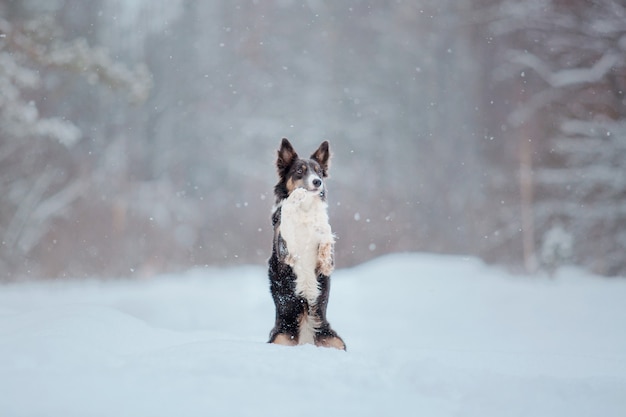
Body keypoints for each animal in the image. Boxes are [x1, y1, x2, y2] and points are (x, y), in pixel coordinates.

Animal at [266, 138, 344, 350]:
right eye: (299, 171)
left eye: (318, 172)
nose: (318, 182)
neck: (305, 210)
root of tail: (306, 342)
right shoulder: (282, 248)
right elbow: (287, 231)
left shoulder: (324, 236)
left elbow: (326, 237)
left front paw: (325, 261)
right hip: (280, 338)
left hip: (335, 340)